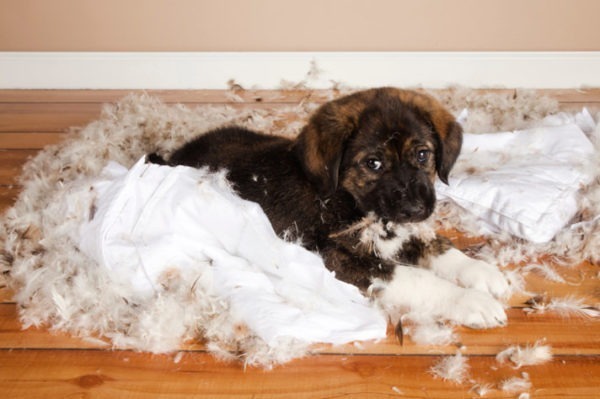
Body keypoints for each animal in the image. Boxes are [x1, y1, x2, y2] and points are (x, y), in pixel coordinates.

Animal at [152, 89, 508, 332]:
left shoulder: (402, 230)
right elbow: (417, 278)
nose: (416, 209)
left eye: (422, 155)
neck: (349, 199)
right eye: (373, 163)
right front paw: (469, 301)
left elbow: (438, 246)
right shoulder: (337, 260)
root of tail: (177, 155)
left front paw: (481, 273)